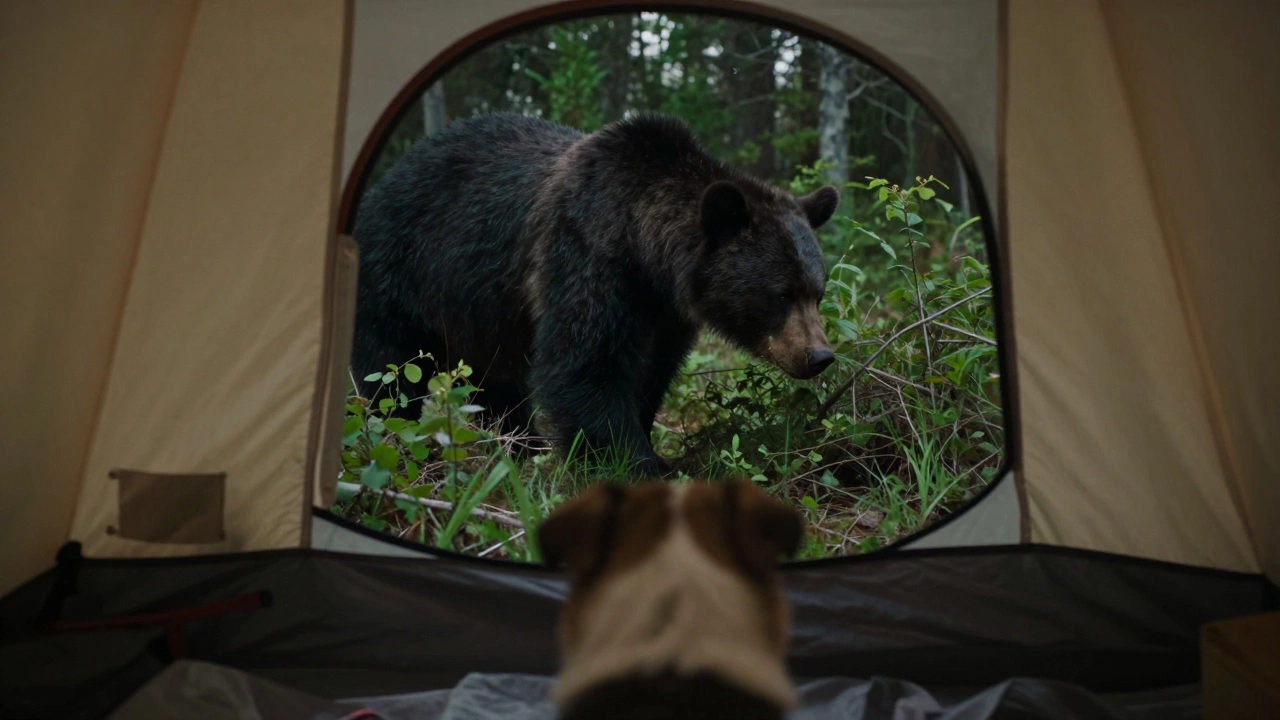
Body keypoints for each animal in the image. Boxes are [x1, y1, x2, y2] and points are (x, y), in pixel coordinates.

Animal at [351, 112, 838, 475]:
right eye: (780, 294)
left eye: (817, 292)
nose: (819, 355)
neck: (645, 252)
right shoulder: (586, 256)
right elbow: (584, 366)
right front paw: (637, 464)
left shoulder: (665, 314)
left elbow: (650, 373)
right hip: (401, 274)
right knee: (389, 371)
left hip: (481, 313)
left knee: (495, 382)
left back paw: (524, 447)